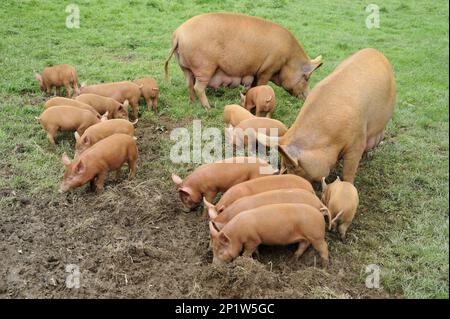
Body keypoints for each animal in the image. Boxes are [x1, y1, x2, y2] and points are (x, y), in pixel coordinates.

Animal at [163, 13, 322, 110]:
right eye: (307, 78)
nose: (309, 96)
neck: (288, 60)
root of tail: (178, 34)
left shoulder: (255, 72)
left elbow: (252, 86)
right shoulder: (268, 68)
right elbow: (261, 84)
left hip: (185, 67)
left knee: (189, 84)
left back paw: (192, 103)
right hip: (204, 67)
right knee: (198, 87)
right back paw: (208, 107)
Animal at [255, 48, 396, 184]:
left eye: (293, 167)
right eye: (283, 165)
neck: (330, 138)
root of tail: (376, 52)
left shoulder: (357, 141)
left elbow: (348, 172)